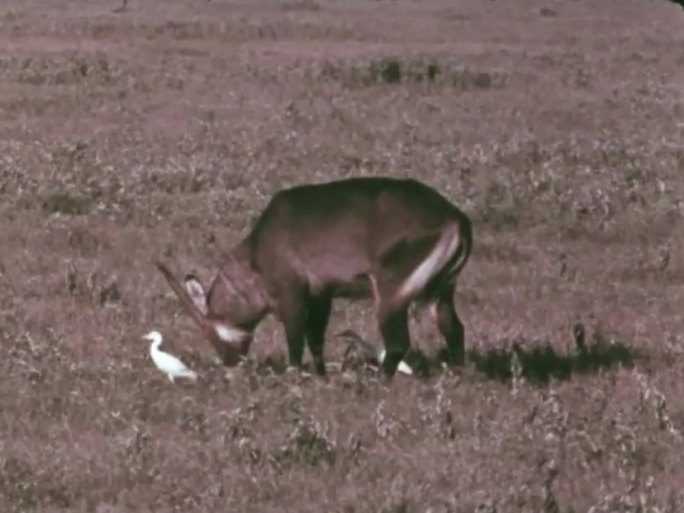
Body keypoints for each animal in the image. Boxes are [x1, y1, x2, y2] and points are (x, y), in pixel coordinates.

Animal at [157, 176, 472, 380]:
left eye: (207, 330)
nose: (230, 363)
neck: (258, 249)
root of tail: (456, 217)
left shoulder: (291, 295)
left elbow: (296, 339)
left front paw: (294, 379)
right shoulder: (322, 295)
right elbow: (316, 338)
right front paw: (321, 377)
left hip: (391, 293)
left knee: (397, 343)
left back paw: (380, 382)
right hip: (443, 291)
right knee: (454, 329)